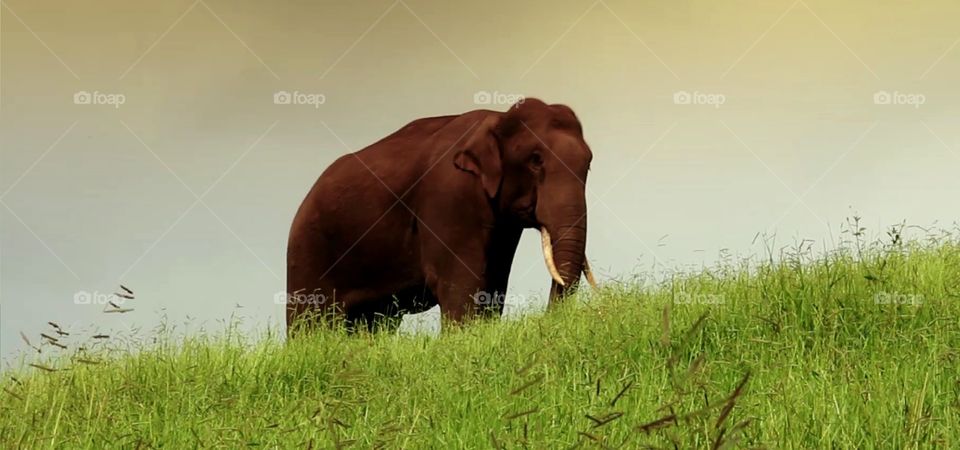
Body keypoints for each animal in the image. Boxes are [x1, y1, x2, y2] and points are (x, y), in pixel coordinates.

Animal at [285, 98, 598, 334]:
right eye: (535, 161)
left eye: (589, 164)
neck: (496, 120)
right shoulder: (449, 195)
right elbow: (461, 284)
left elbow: (493, 283)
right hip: (308, 249)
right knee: (309, 322)